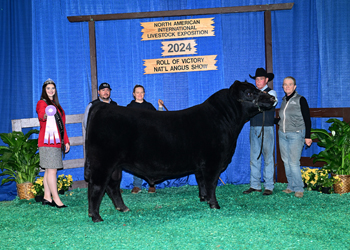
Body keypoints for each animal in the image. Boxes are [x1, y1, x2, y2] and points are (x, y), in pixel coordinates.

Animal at [85, 79, 276, 221]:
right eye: (249, 93)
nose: (272, 99)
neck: (224, 120)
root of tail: (102, 106)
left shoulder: (201, 165)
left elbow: (201, 182)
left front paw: (203, 199)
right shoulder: (213, 161)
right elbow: (212, 183)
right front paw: (214, 204)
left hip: (115, 166)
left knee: (112, 186)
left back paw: (123, 208)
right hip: (103, 162)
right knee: (97, 186)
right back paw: (96, 216)